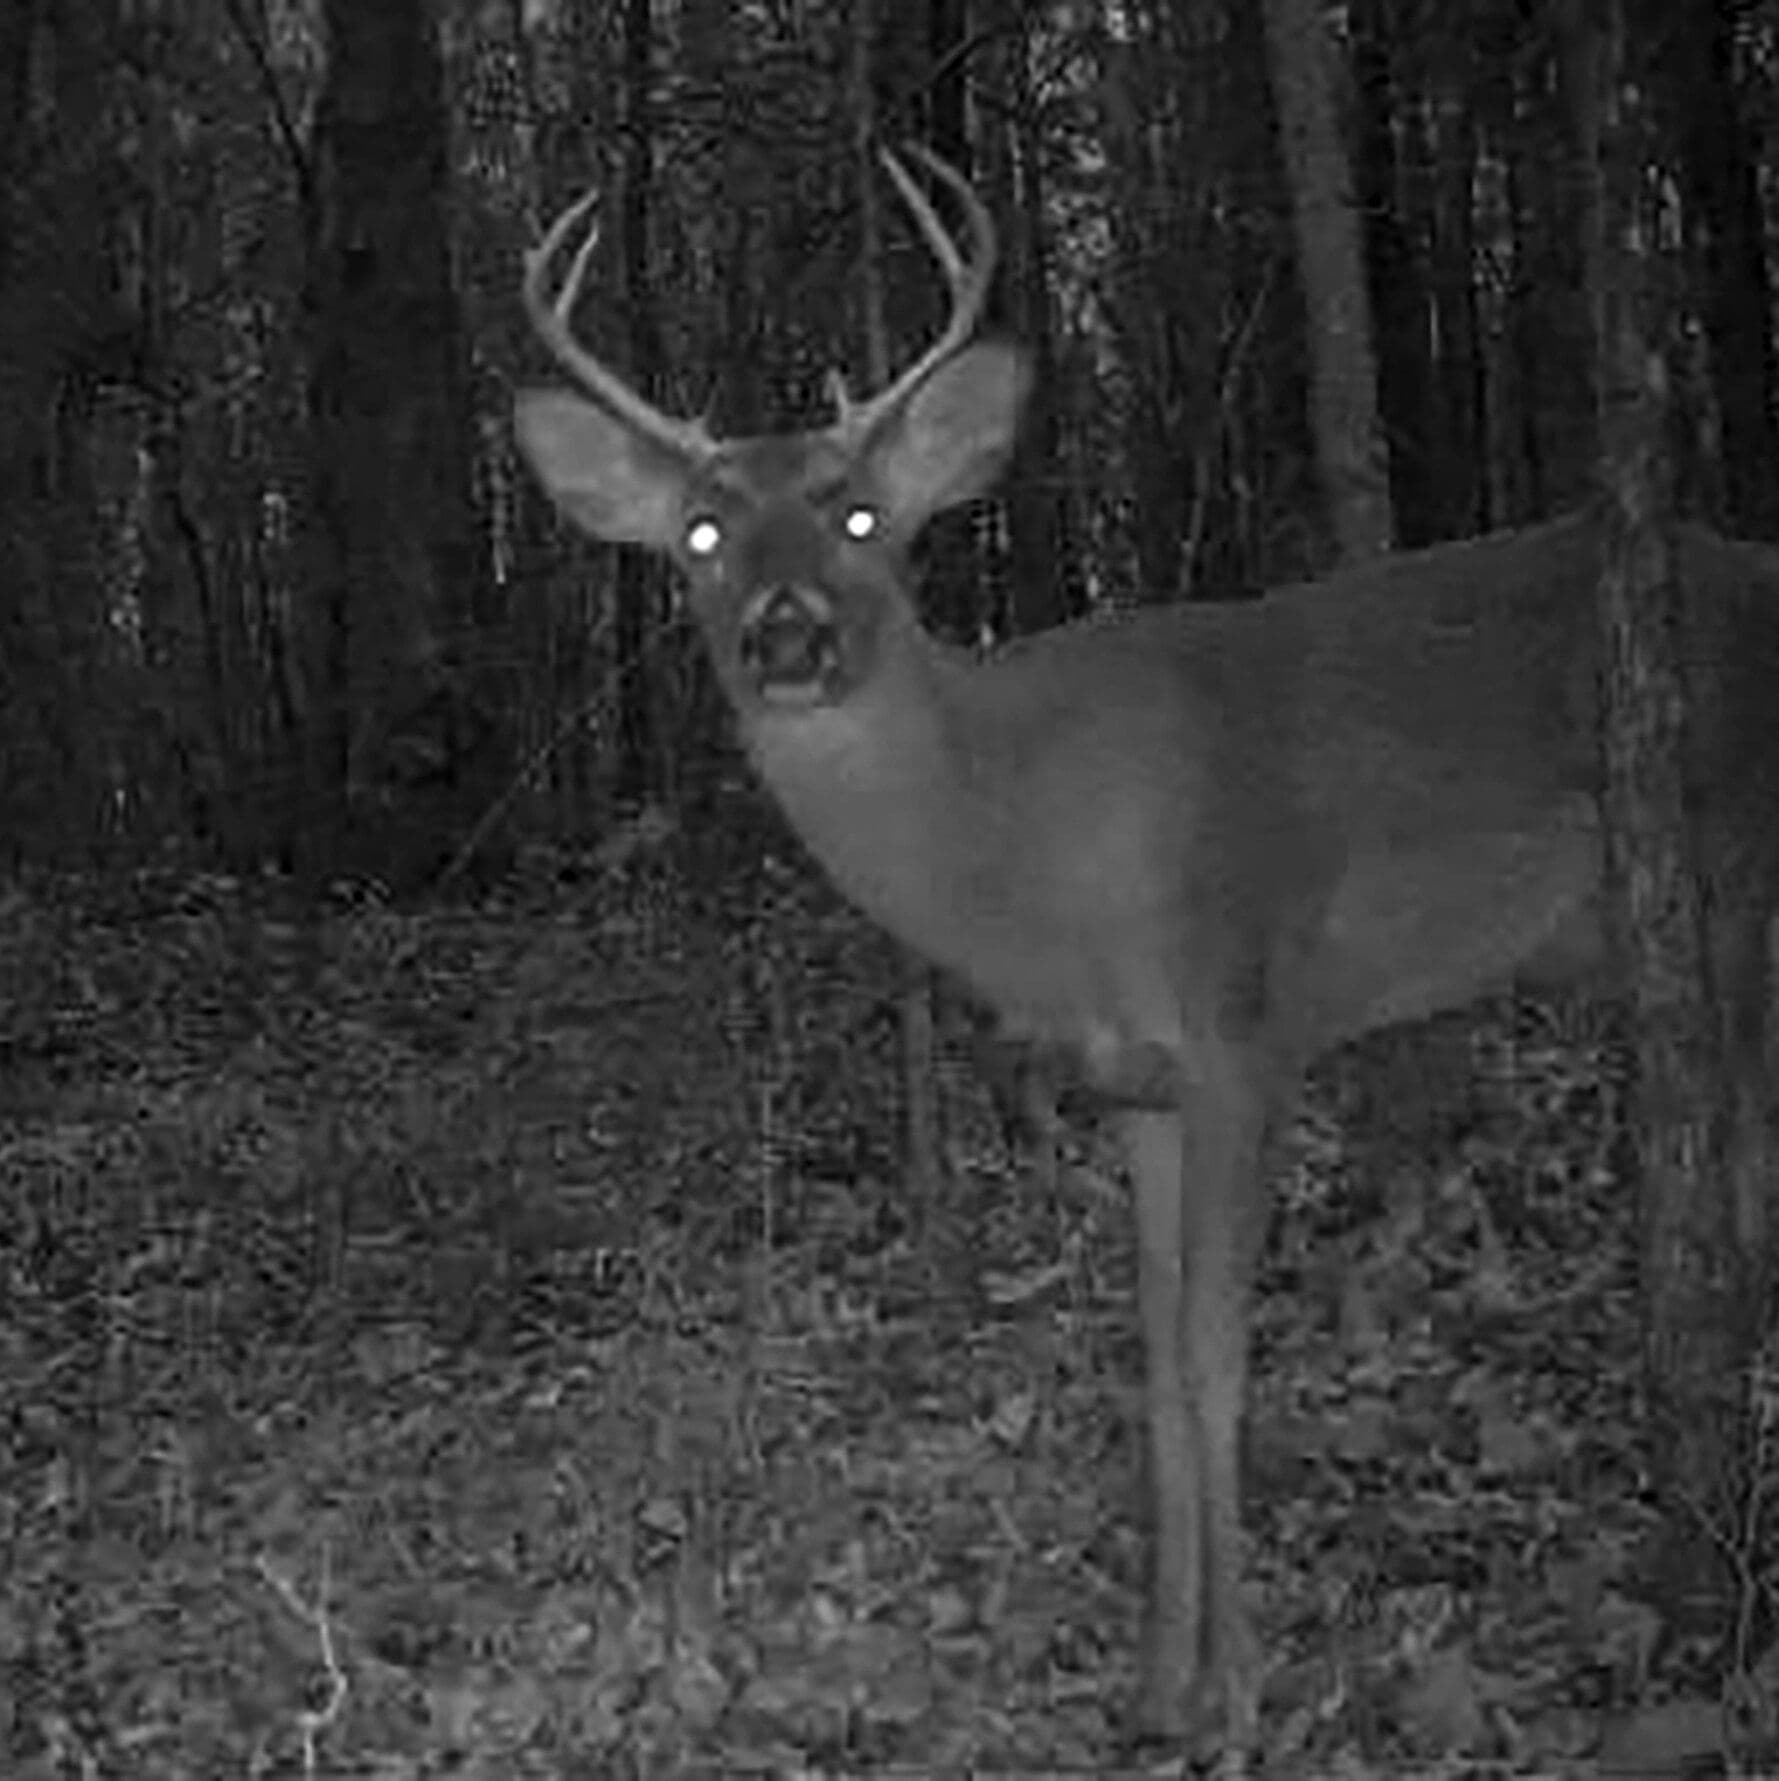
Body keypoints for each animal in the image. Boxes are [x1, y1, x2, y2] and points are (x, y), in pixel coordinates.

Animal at [514, 145, 1779, 1749]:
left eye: (860, 516)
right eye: (699, 533)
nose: (787, 637)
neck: (1036, 845)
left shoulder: (1245, 1023)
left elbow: (1218, 1355)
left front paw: (1236, 1688)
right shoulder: (1135, 1084)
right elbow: (1157, 1364)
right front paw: (1157, 1681)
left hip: (1736, 880)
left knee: (1750, 1185)